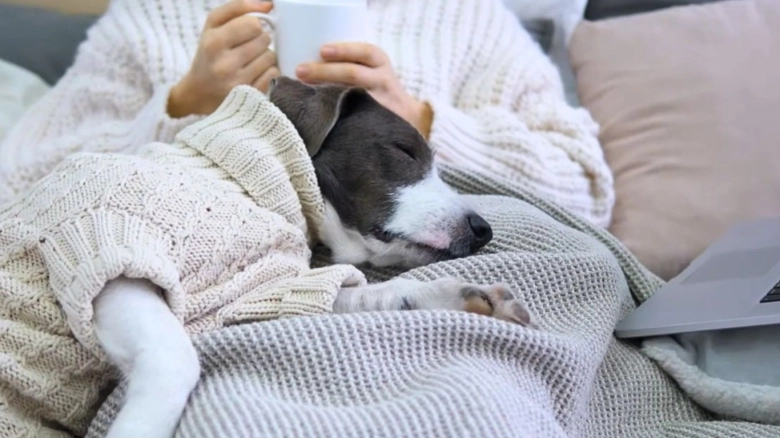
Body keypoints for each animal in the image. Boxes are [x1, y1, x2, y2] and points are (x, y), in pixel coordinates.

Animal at [96, 78, 536, 438]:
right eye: (405, 151)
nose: (482, 230)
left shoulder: (259, 294)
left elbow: (376, 293)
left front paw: (464, 296)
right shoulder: (114, 252)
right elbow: (174, 358)